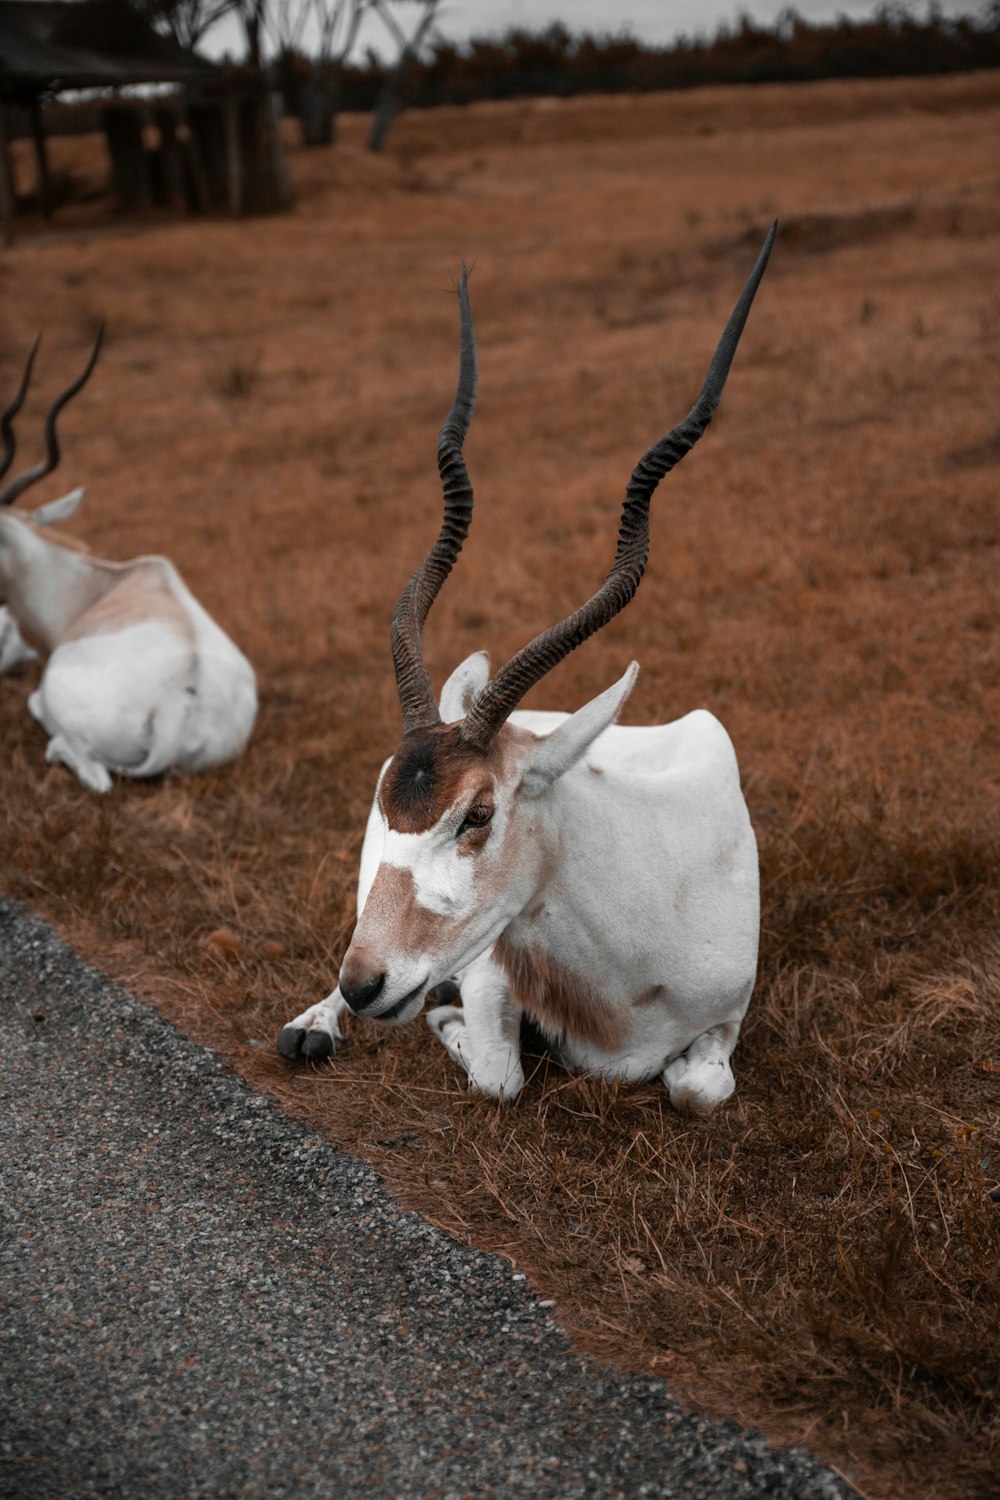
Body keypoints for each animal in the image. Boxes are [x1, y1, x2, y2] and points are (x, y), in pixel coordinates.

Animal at [277, 222, 779, 1116]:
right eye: (387, 792)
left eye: (479, 813)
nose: (371, 984)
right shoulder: (486, 967)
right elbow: (499, 1075)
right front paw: (444, 1022)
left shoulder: (728, 1013)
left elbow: (697, 1088)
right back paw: (313, 1025)